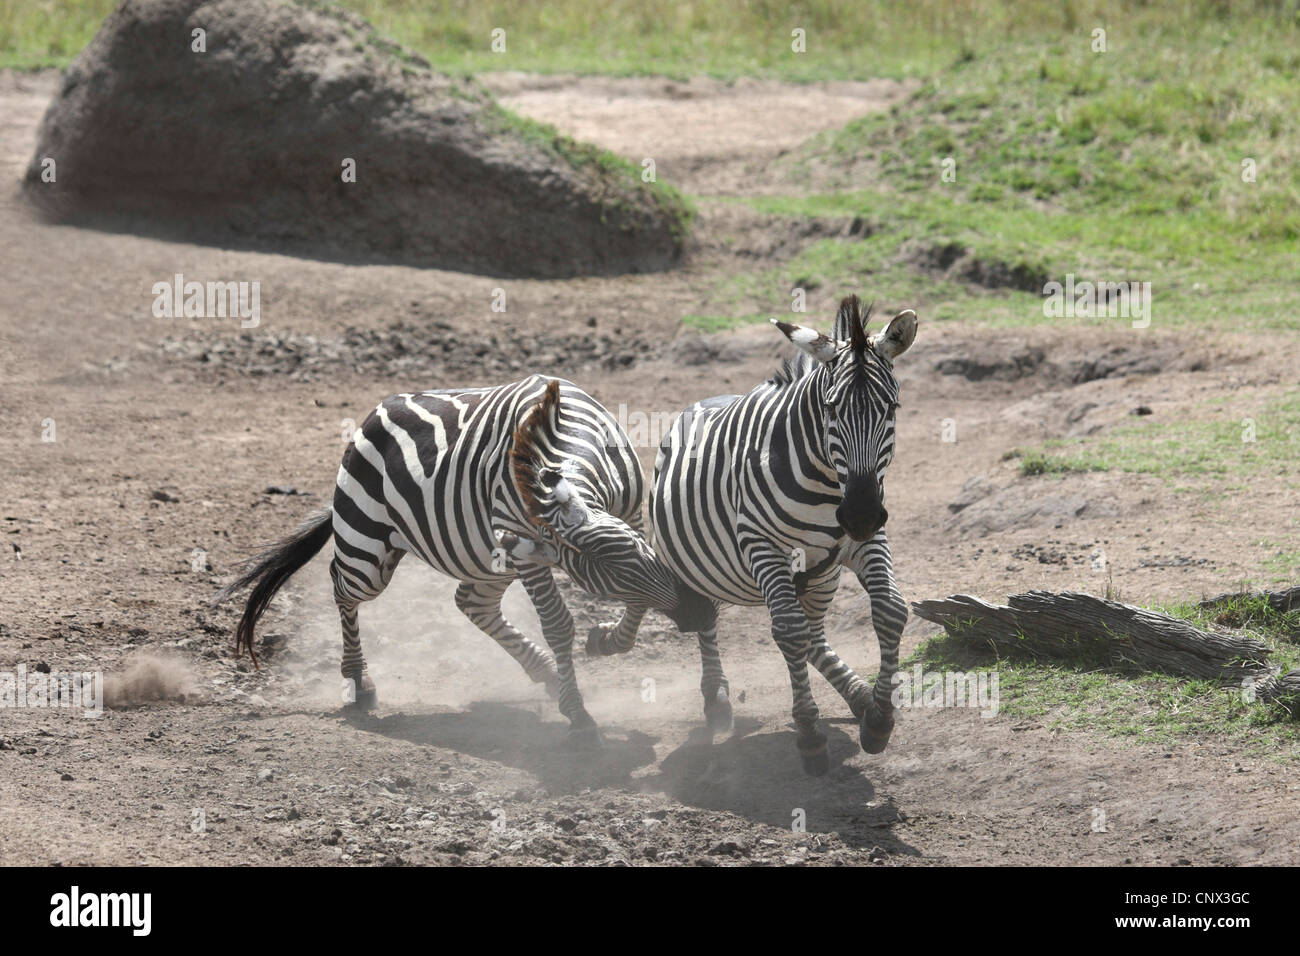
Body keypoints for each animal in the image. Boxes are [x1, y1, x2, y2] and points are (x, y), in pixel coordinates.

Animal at [215, 375, 713, 748]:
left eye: (638, 556)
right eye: (604, 584)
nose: (697, 612)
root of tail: (378, 409)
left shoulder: (629, 520)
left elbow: (638, 606)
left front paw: (607, 640)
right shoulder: (528, 545)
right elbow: (559, 625)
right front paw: (579, 715)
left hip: (488, 559)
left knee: (471, 602)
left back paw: (544, 673)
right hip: (373, 549)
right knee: (342, 586)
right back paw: (358, 681)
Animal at [635, 295, 917, 774]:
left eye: (892, 409)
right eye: (830, 409)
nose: (860, 514)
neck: (829, 485)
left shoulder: (865, 542)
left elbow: (890, 611)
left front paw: (880, 718)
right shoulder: (762, 547)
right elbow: (787, 632)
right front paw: (809, 736)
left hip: (821, 574)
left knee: (815, 633)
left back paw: (858, 696)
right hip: (701, 567)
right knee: (714, 622)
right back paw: (717, 700)